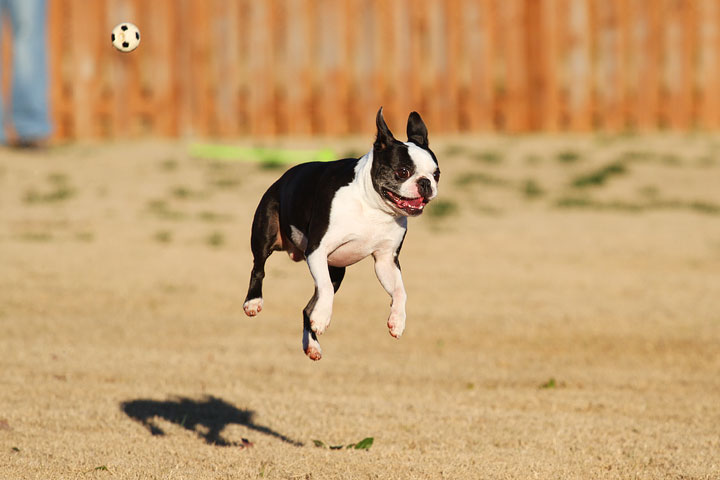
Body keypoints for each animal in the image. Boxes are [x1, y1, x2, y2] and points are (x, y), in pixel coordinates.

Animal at [243, 108, 438, 360]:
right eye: (402, 172)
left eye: (437, 174)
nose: (426, 183)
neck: (371, 205)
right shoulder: (317, 250)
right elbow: (325, 287)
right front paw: (322, 318)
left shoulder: (385, 261)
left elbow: (400, 291)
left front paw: (397, 321)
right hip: (266, 229)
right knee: (259, 267)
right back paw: (253, 302)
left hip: (336, 269)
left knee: (307, 307)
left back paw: (312, 346)